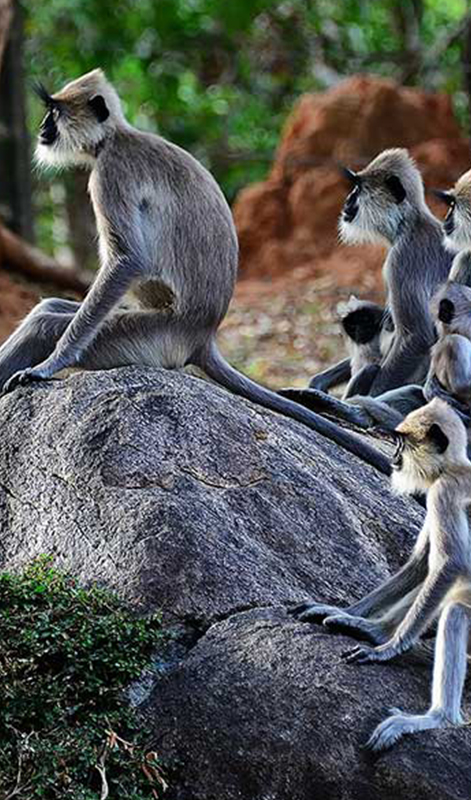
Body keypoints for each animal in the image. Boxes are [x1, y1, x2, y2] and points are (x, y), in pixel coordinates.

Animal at [0, 70, 389, 475]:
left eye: (54, 113)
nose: (43, 129)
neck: (115, 137)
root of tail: (204, 335)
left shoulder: (111, 172)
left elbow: (128, 260)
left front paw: (49, 366)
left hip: (150, 338)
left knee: (47, 324)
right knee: (46, 310)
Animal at [292, 398, 471, 750]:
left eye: (401, 443)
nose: (394, 458)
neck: (456, 468)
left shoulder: (443, 492)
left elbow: (451, 564)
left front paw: (386, 650)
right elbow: (422, 564)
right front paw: (349, 614)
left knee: (456, 610)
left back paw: (437, 718)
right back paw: (370, 629)